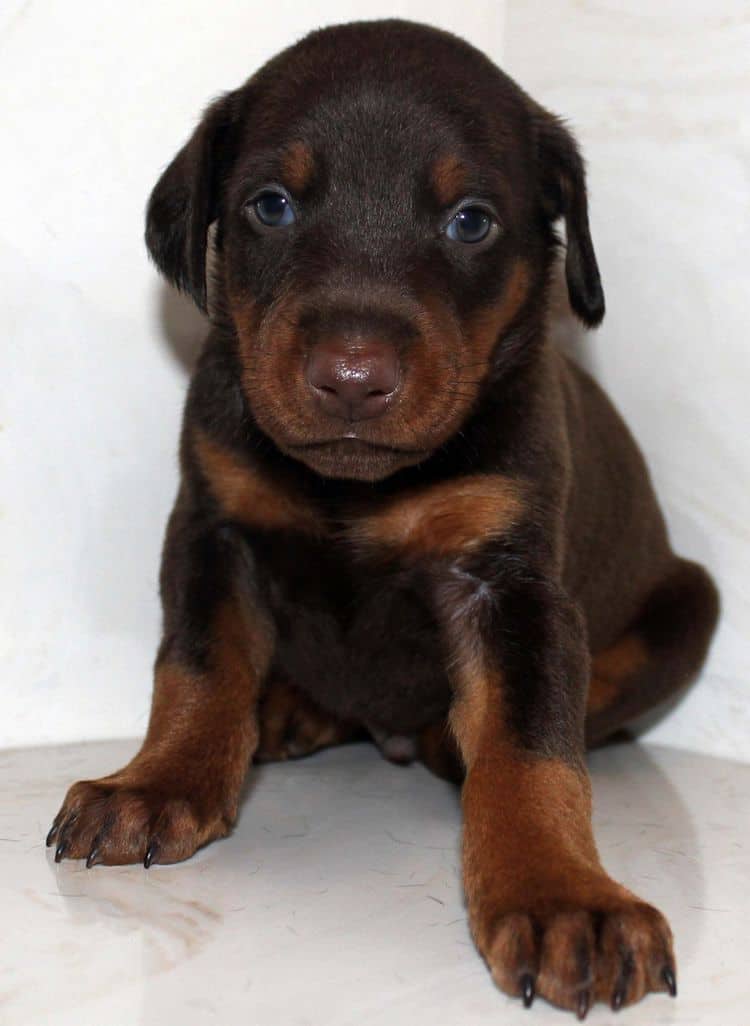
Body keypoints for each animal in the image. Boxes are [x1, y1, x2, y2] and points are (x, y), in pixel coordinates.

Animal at [45, 18, 714, 1017]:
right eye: (272, 205)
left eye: (470, 220)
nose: (353, 378)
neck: (354, 487)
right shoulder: (213, 530)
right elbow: (197, 669)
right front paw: (158, 782)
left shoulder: (509, 582)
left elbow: (530, 747)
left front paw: (562, 896)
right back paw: (287, 710)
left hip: (691, 606)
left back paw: (435, 737)